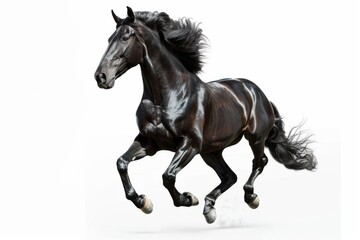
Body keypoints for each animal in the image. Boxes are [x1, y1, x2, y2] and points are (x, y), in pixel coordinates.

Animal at [94, 7, 316, 224]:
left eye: (126, 37)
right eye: (109, 38)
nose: (101, 76)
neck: (166, 96)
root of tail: (260, 94)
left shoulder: (189, 144)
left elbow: (168, 176)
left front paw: (187, 198)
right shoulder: (149, 143)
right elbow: (122, 163)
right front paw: (143, 202)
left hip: (254, 138)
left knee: (259, 163)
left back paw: (250, 197)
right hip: (211, 151)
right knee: (229, 176)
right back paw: (209, 207)